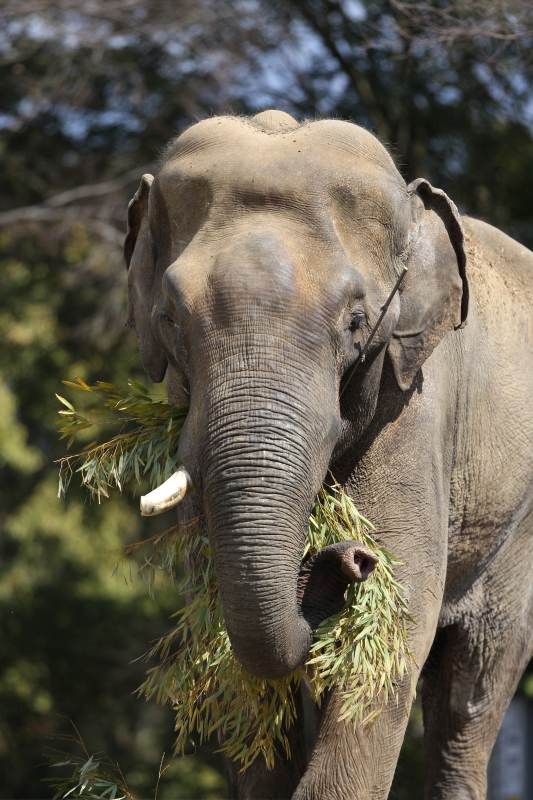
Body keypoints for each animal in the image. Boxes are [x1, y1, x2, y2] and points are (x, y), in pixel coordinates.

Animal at [123, 108, 532, 800]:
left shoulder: (410, 398)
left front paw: (378, 568)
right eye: (171, 318)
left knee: (472, 687)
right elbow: (227, 620)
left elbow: (401, 613)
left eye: (356, 321)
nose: (349, 556)